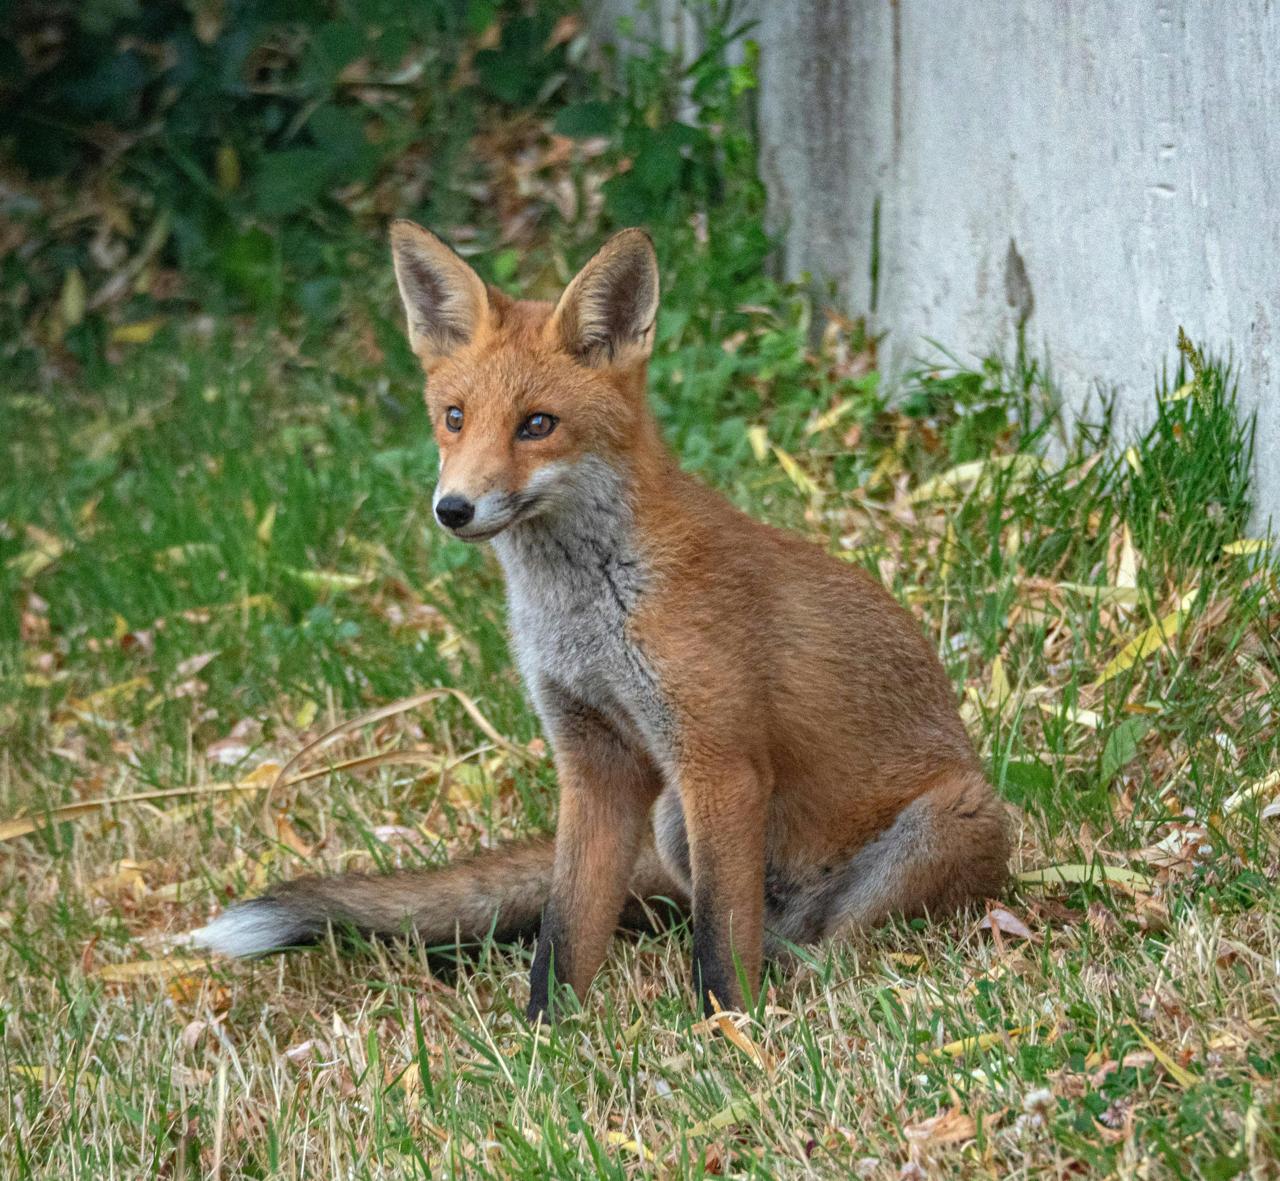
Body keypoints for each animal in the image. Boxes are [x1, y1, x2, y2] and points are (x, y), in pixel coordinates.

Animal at [189, 221, 1009, 1019]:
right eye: (454, 419)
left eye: (537, 424)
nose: (453, 508)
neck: (585, 616)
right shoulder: (594, 760)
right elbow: (567, 926)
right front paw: (546, 1039)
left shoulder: (719, 762)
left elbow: (718, 939)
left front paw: (728, 1029)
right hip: (673, 821)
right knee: (752, 926)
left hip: (942, 822)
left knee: (828, 939)